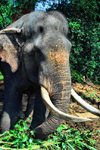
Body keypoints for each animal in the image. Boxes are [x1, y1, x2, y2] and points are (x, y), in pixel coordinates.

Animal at [0, 10, 99, 139]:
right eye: (37, 53)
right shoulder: (10, 66)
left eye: (70, 49)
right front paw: (5, 134)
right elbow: (11, 97)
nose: (29, 132)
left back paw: (26, 118)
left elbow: (40, 101)